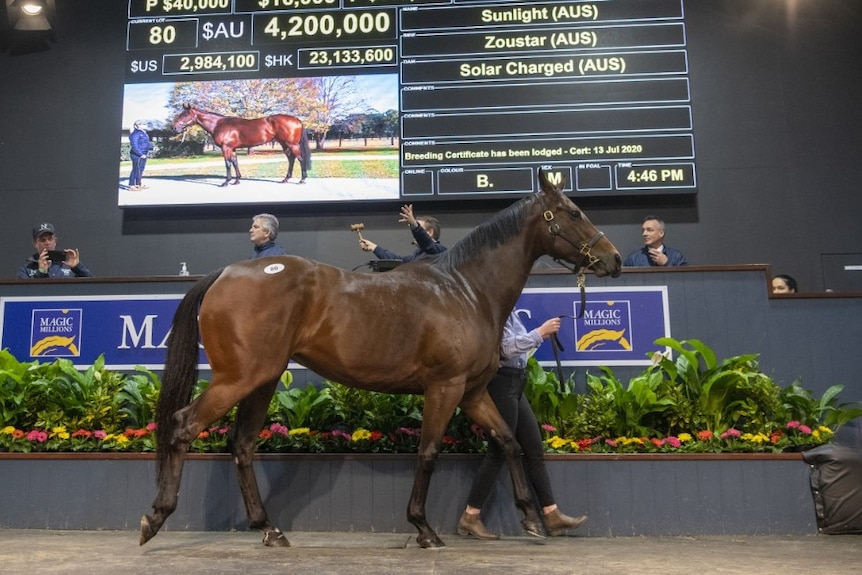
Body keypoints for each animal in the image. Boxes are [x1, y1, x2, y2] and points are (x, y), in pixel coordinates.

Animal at [140, 166, 620, 548]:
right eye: (573, 213)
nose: (613, 259)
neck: (465, 290)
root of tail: (227, 272)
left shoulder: (473, 393)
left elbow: (508, 441)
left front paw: (532, 519)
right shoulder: (444, 388)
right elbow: (428, 451)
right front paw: (424, 529)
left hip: (263, 380)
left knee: (241, 445)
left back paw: (269, 530)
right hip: (237, 378)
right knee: (184, 426)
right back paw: (155, 518)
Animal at [174, 102, 312, 186]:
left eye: (185, 114)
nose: (175, 128)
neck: (219, 124)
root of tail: (297, 119)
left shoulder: (226, 148)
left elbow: (228, 164)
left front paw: (226, 182)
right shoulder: (232, 149)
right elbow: (235, 162)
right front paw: (236, 181)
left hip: (292, 144)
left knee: (300, 159)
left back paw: (302, 179)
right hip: (284, 144)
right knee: (291, 159)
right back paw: (285, 179)